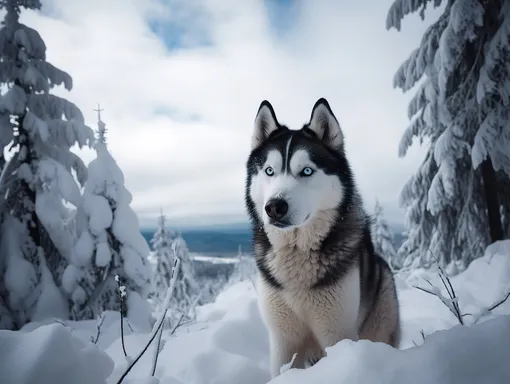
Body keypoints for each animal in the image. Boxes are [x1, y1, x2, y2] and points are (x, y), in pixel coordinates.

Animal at [245, 97, 400, 376]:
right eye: (269, 171)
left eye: (306, 171)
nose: (274, 207)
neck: (297, 254)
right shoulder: (282, 339)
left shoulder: (337, 333)